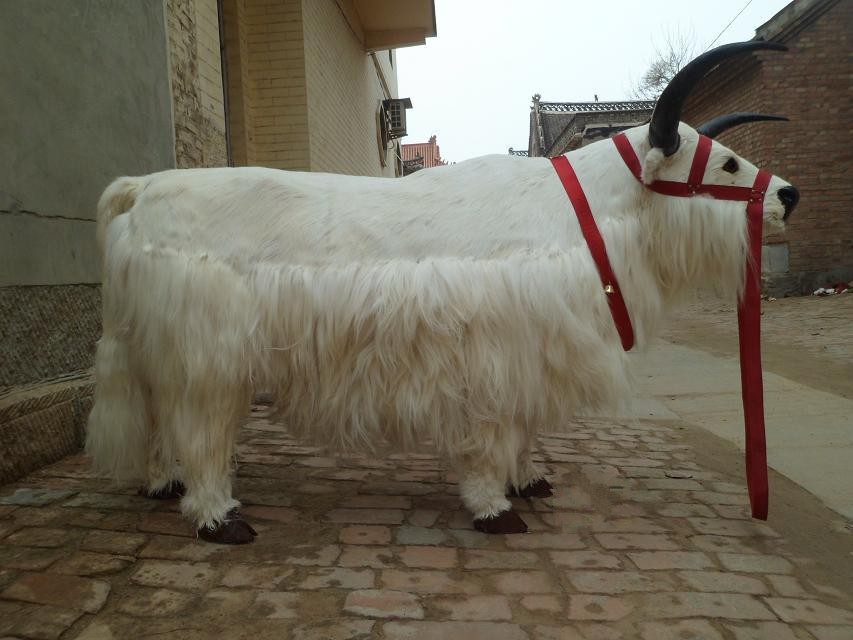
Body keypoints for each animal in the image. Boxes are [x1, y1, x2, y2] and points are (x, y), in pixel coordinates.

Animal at [86, 41, 798, 543]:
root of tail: (144, 189)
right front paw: (493, 506)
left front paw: (528, 480)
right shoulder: (495, 355)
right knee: (199, 430)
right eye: (726, 162)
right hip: (208, 359)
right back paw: (218, 517)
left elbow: (524, 430)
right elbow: (496, 434)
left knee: (160, 421)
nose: (787, 195)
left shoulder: (530, 353)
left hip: (156, 347)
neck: (585, 211)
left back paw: (162, 484)